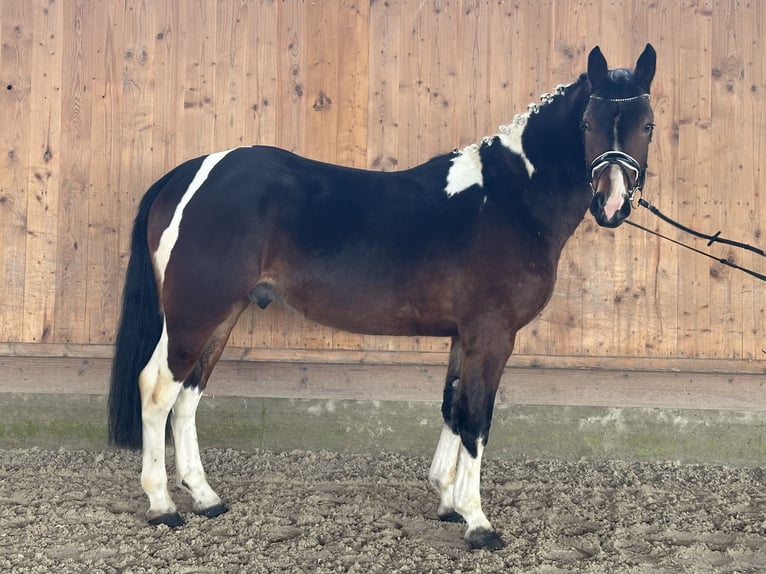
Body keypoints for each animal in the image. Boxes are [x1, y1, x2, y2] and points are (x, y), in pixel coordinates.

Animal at [108, 44, 656, 550]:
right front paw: (478, 522)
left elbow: (452, 406)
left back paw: (205, 498)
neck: (506, 199)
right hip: (194, 313)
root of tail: (188, 175)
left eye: (647, 126)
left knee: (188, 397)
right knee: (158, 390)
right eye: (587, 122)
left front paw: (448, 501)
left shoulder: (465, 335)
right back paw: (162, 505)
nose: (611, 204)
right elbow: (476, 418)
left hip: (222, 316)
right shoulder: (492, 335)